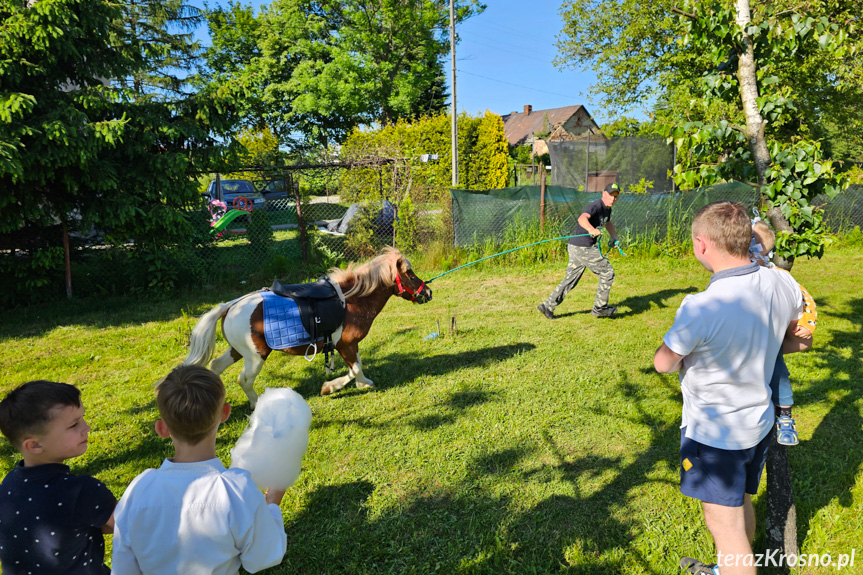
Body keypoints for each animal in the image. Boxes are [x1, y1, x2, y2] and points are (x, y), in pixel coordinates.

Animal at [181, 250, 432, 408]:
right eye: (410, 274)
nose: (428, 293)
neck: (352, 301)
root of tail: (231, 305)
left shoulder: (349, 345)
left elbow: (358, 367)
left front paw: (362, 384)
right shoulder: (345, 344)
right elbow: (355, 368)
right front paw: (331, 387)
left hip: (237, 351)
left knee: (215, 365)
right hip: (255, 356)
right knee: (244, 380)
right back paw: (255, 403)